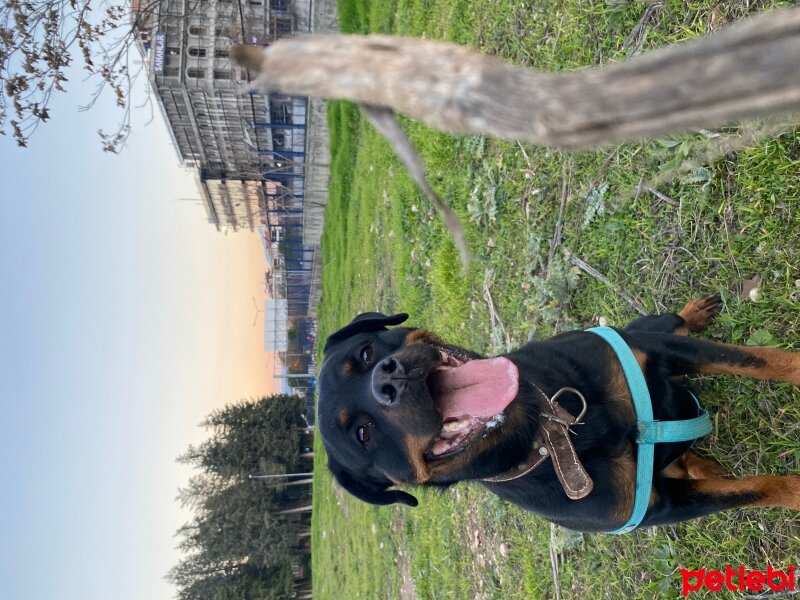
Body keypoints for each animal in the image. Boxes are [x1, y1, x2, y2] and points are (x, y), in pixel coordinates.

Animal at [318, 296, 800, 528]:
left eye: (365, 353)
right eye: (363, 435)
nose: (388, 379)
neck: (547, 429)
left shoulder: (657, 349)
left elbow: (761, 361)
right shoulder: (658, 507)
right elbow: (759, 489)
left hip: (652, 330)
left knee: (675, 322)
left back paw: (693, 312)